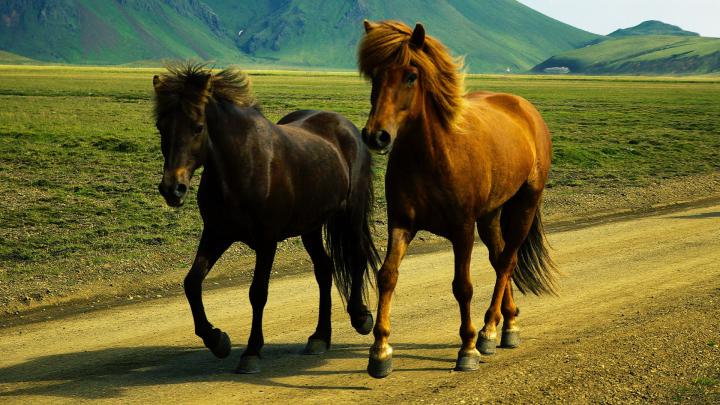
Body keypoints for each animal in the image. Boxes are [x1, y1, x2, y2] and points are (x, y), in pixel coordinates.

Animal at [152, 62, 379, 374]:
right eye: (161, 127)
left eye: (198, 127)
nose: (172, 189)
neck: (242, 167)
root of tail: (345, 126)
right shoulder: (216, 233)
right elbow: (192, 282)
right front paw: (216, 339)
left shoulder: (266, 241)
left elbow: (257, 293)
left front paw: (251, 352)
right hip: (310, 227)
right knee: (324, 270)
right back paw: (320, 337)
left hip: (351, 214)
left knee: (356, 257)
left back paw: (360, 317)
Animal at [358, 20, 558, 378]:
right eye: (375, 76)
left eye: (411, 75)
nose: (376, 136)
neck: (432, 154)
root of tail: (525, 108)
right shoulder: (401, 224)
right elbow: (387, 276)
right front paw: (380, 350)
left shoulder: (462, 229)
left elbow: (462, 286)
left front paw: (467, 348)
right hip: (491, 215)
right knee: (499, 257)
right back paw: (508, 323)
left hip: (525, 204)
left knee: (507, 261)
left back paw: (490, 330)